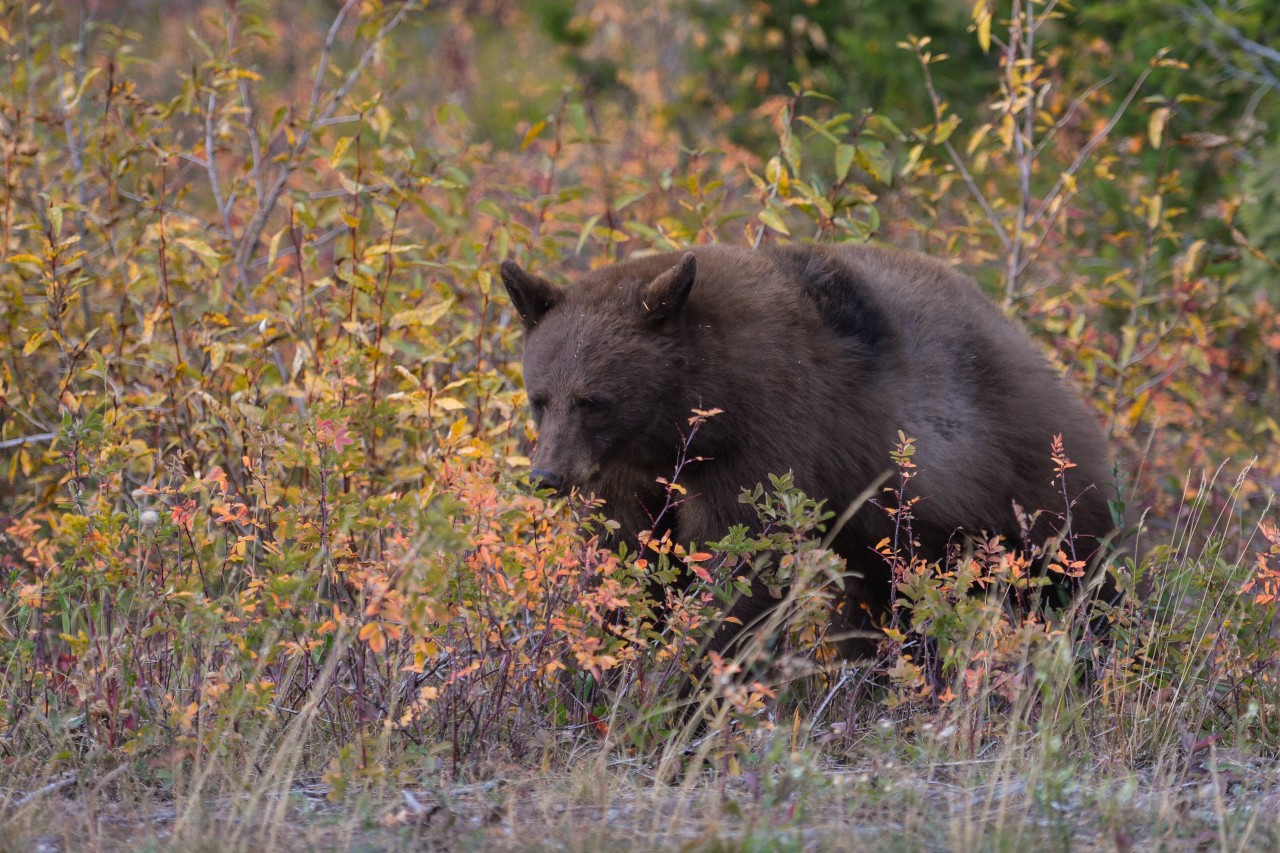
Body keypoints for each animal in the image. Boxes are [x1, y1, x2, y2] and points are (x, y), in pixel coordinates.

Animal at [499, 242, 1121, 653]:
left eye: (593, 400)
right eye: (540, 397)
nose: (546, 476)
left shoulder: (770, 437)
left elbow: (740, 560)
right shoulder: (628, 472)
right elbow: (630, 554)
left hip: (1029, 485)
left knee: (1082, 576)